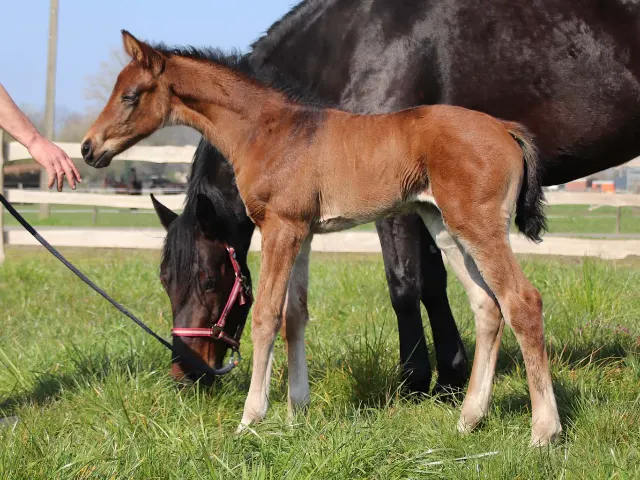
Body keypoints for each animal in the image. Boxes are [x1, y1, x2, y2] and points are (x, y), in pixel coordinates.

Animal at [81, 31, 561, 446]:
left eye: (129, 96)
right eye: (164, 281)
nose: (88, 148)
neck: (269, 131)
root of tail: (505, 128)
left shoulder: (281, 228)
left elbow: (267, 317)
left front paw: (251, 419)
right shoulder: (303, 234)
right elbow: (295, 316)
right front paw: (297, 414)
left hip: (477, 226)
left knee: (522, 301)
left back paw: (543, 432)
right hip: (444, 228)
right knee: (487, 307)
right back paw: (469, 419)